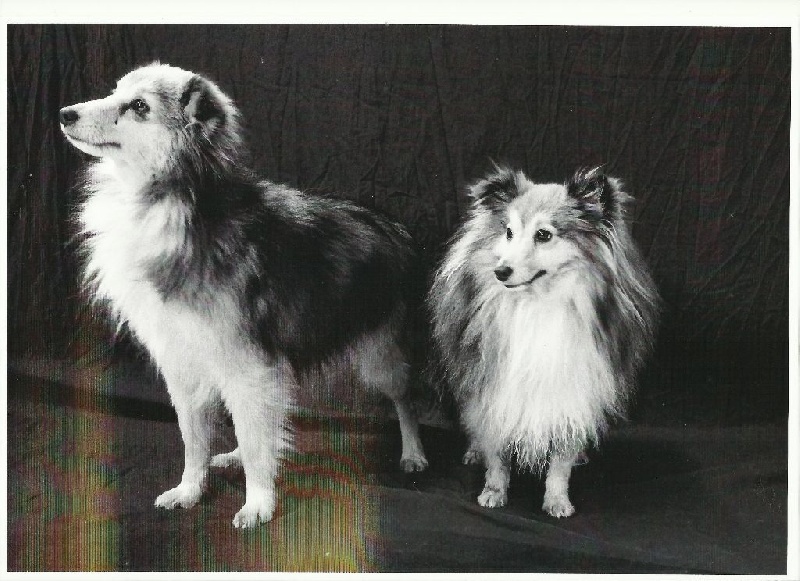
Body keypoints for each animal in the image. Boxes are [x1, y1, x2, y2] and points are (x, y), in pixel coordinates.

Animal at [59, 62, 428, 528]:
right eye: (114, 93)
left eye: (139, 106)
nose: (65, 113)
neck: (179, 207)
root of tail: (395, 225)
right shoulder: (187, 366)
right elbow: (196, 440)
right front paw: (190, 491)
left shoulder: (246, 365)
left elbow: (254, 440)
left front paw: (258, 503)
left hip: (381, 356)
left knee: (405, 399)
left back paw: (414, 453)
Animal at [428, 165, 659, 517]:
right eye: (509, 232)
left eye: (544, 235)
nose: (501, 271)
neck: (537, 303)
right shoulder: (495, 388)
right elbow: (497, 453)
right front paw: (493, 492)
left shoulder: (572, 392)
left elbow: (560, 463)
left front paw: (557, 501)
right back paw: (474, 451)